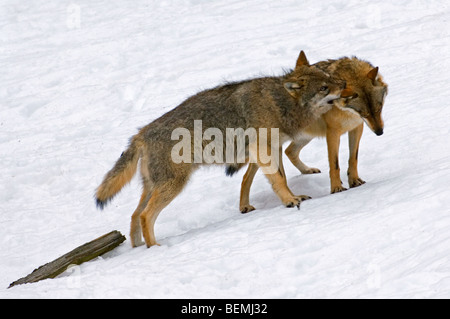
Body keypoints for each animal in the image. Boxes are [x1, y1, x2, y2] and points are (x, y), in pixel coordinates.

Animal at [94, 51, 348, 249]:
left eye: (330, 78)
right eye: (324, 87)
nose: (346, 85)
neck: (279, 103)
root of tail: (141, 133)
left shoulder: (272, 149)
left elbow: (281, 178)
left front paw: (294, 196)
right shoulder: (262, 150)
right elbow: (278, 180)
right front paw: (290, 201)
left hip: (152, 187)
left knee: (135, 215)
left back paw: (139, 248)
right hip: (173, 186)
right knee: (146, 215)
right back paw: (155, 248)